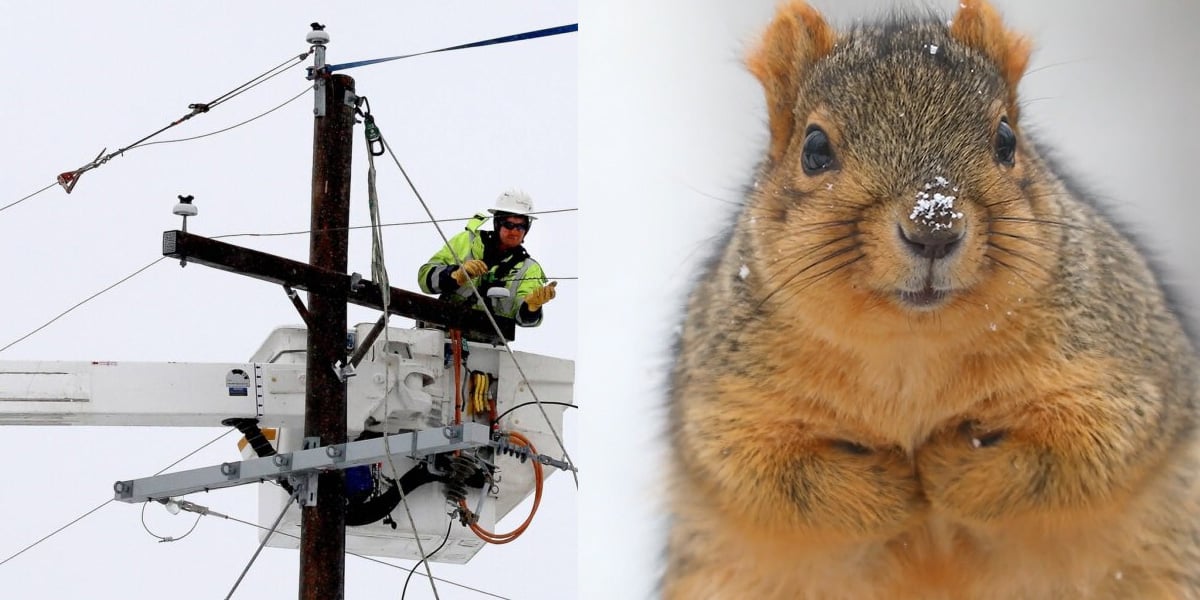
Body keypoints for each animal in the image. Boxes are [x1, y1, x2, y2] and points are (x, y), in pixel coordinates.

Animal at [664, 1, 1200, 598]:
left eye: (1006, 140)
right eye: (815, 149)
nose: (934, 226)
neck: (912, 345)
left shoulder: (1118, 366)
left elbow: (1086, 448)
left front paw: (948, 467)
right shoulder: (730, 398)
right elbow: (761, 472)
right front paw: (895, 485)